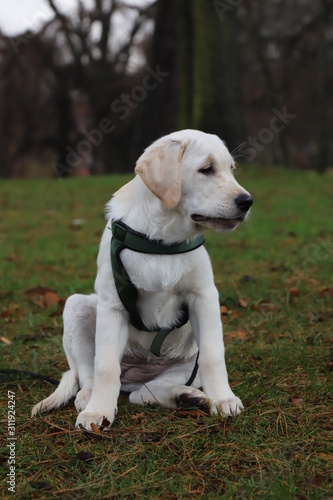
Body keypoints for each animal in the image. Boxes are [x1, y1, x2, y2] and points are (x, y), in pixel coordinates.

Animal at [32, 129, 253, 430]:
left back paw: (186, 396)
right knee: (88, 374)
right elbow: (104, 366)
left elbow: (213, 354)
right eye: (206, 169)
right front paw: (97, 412)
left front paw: (223, 398)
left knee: (144, 393)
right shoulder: (112, 305)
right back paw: (88, 398)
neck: (163, 239)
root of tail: (136, 375)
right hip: (76, 307)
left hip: (186, 364)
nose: (247, 202)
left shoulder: (204, 296)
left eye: (231, 169)